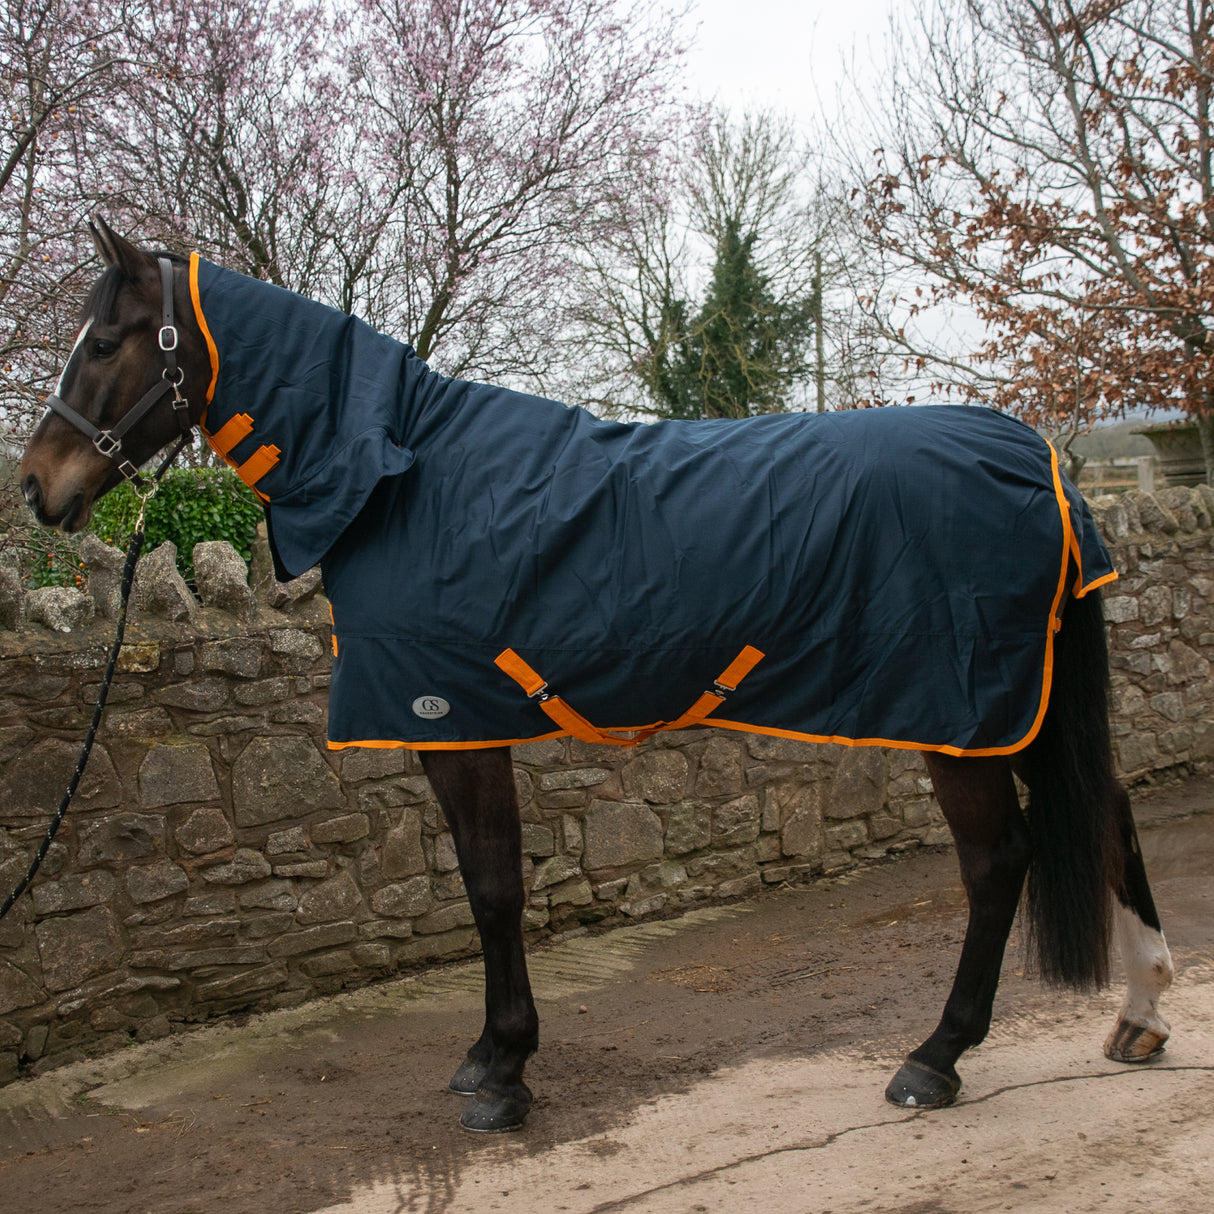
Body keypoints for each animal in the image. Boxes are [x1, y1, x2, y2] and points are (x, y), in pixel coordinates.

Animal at [19, 218, 1174, 1133]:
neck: (406, 476)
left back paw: (935, 1058)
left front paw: (503, 1071)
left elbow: (492, 886)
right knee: (1106, 808)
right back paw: (1141, 1014)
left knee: (999, 861)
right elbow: (490, 882)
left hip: (960, 713)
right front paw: (494, 1056)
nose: (36, 486)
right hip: (1015, 711)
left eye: (108, 340)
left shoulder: (454, 721)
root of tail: (1044, 465)